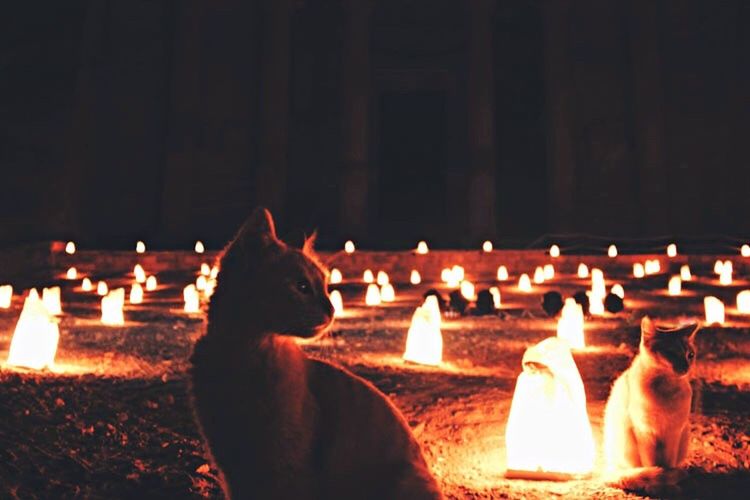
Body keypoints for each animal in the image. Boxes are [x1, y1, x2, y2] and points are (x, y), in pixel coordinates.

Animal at [191, 208, 444, 500]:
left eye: (325, 286)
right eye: (302, 287)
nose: (332, 309)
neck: (243, 355)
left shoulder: (287, 471)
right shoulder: (232, 467)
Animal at [604, 316, 704, 492]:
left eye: (690, 355)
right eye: (671, 353)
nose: (686, 366)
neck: (666, 390)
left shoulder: (673, 433)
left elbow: (668, 465)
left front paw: (670, 481)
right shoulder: (645, 432)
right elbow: (652, 465)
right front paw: (658, 483)